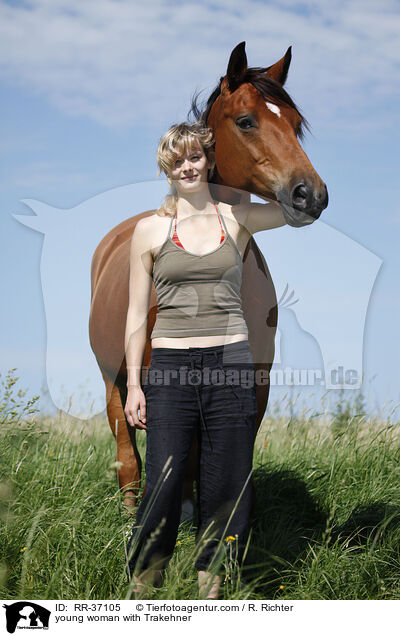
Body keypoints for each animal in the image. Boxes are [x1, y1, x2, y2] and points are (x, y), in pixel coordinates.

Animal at [89, 42, 326, 510]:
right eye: (246, 120)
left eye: (295, 125)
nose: (310, 195)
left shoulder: (254, 388)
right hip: (114, 382)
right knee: (128, 458)